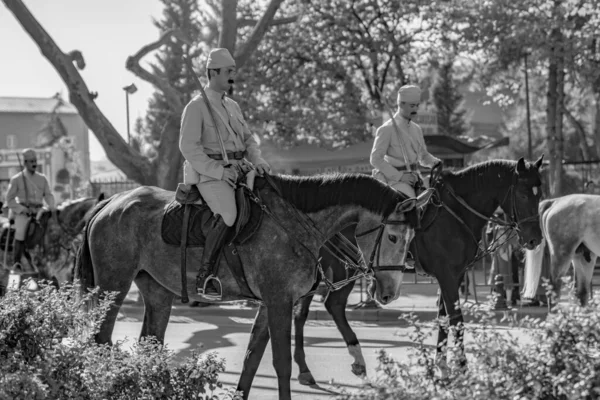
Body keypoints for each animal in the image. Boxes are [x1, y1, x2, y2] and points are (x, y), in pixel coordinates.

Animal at [76, 173, 432, 398]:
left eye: (413, 237)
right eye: (394, 236)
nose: (389, 292)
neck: (295, 222)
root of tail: (111, 202)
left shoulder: (269, 304)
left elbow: (251, 360)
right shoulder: (279, 302)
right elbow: (281, 364)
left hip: (157, 292)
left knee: (149, 344)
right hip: (113, 287)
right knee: (101, 340)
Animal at [288, 157, 548, 384]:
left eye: (540, 195)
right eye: (523, 194)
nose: (534, 239)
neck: (457, 213)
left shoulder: (454, 276)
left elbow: (443, 318)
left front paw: (442, 367)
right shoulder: (447, 276)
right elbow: (456, 319)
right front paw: (462, 369)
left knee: (314, 309)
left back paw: (314, 367)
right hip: (339, 268)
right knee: (324, 306)